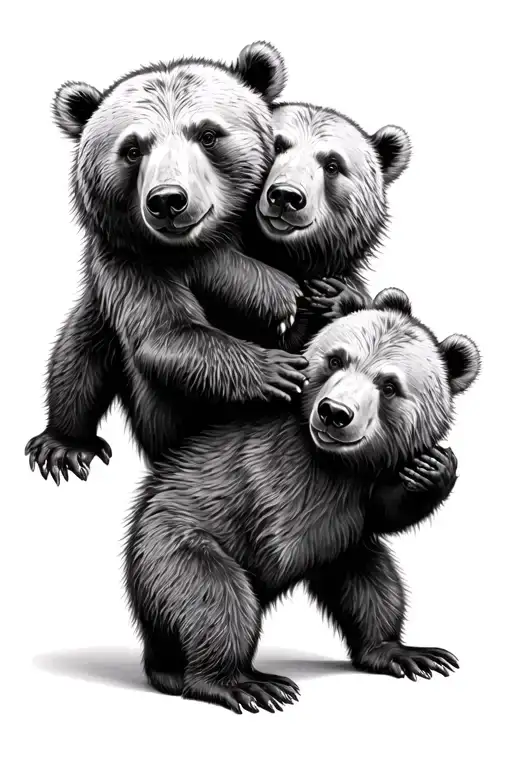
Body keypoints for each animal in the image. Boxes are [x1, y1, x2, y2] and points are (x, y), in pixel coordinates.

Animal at [25, 42, 314, 484]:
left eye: (208, 134)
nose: (167, 200)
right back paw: (64, 445)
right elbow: (165, 334)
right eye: (132, 149)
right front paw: (277, 365)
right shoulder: (125, 263)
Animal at [125, 288, 481, 714]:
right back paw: (237, 681)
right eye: (336, 359)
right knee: (215, 599)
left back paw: (397, 650)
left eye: (389, 386)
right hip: (173, 541)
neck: (339, 462)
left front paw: (433, 469)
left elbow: (378, 520)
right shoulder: (279, 476)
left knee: (376, 585)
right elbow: (292, 534)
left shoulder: (356, 494)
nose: (334, 413)